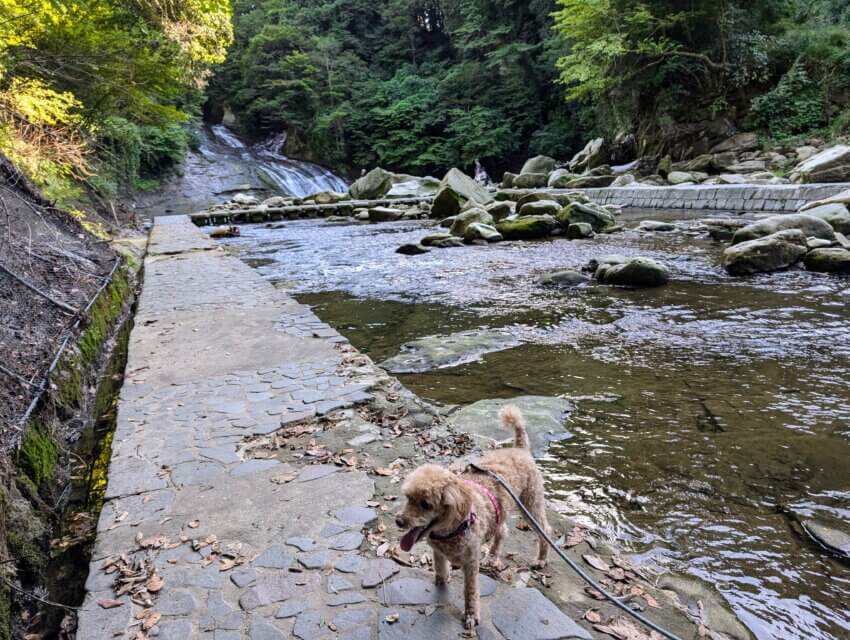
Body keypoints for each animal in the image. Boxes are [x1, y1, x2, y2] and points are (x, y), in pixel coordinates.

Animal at [396, 404, 548, 632]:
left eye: (426, 504)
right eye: (408, 498)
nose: (399, 521)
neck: (452, 529)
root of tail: (520, 448)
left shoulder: (470, 563)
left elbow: (471, 590)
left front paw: (470, 616)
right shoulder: (438, 552)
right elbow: (440, 571)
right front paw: (440, 584)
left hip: (531, 503)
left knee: (545, 530)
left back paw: (541, 559)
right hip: (503, 510)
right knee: (502, 530)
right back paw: (493, 555)